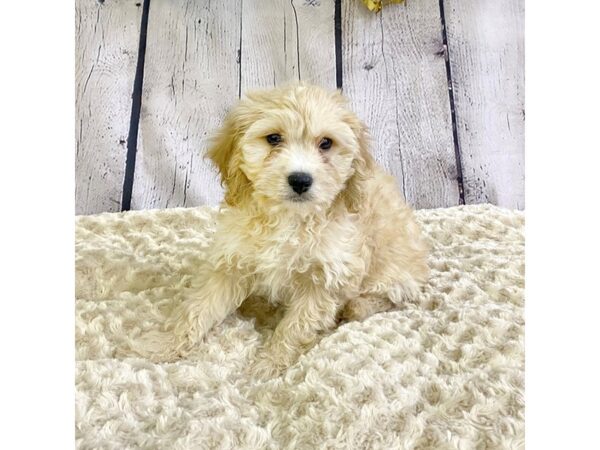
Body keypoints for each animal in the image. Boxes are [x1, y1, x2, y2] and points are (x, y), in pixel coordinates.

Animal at [165, 83, 426, 376]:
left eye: (326, 143)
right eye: (273, 138)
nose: (300, 180)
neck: (289, 219)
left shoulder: (326, 278)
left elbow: (296, 326)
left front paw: (268, 364)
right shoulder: (231, 261)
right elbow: (199, 306)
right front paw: (162, 344)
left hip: (397, 272)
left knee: (392, 296)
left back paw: (357, 305)